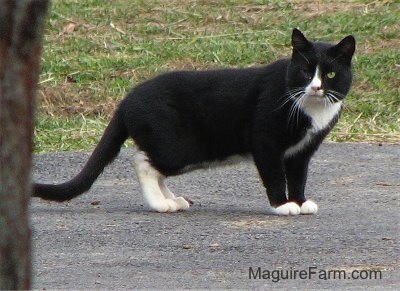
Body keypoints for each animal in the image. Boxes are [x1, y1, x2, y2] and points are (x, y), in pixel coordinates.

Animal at [32, 29, 354, 217]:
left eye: (331, 74)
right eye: (304, 71)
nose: (315, 87)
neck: (311, 109)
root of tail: (127, 99)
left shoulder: (303, 151)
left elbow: (299, 176)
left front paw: (300, 201)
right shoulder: (265, 140)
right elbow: (274, 175)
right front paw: (283, 205)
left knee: (154, 167)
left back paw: (172, 200)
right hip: (178, 149)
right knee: (142, 161)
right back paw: (160, 204)